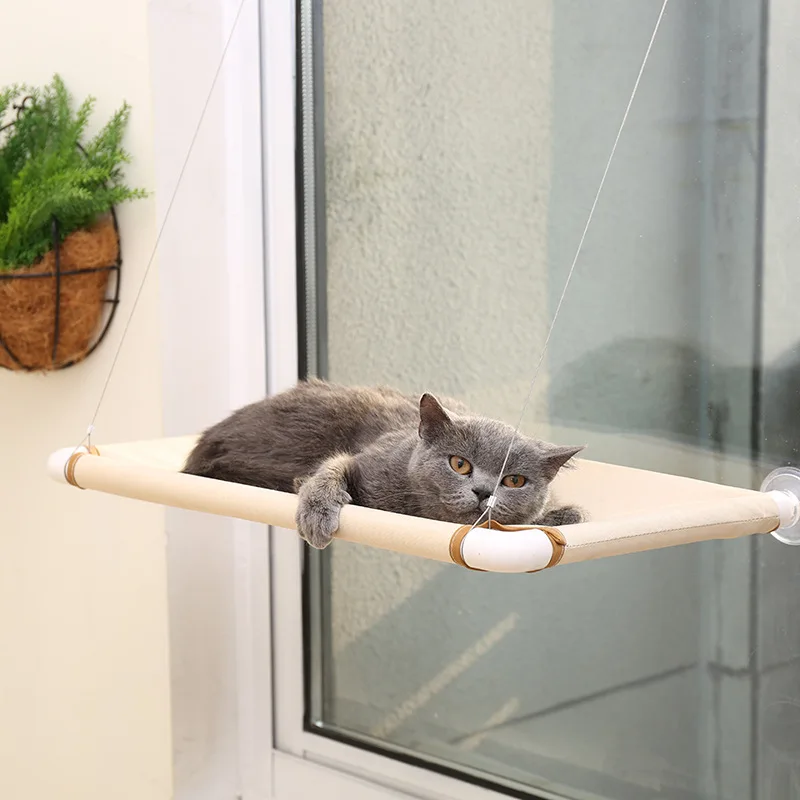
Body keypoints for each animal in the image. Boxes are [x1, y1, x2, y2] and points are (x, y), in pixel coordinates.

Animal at [182, 378, 586, 548]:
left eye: (514, 481)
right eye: (460, 464)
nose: (484, 491)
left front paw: (564, 515)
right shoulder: (368, 461)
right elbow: (331, 469)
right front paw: (317, 514)